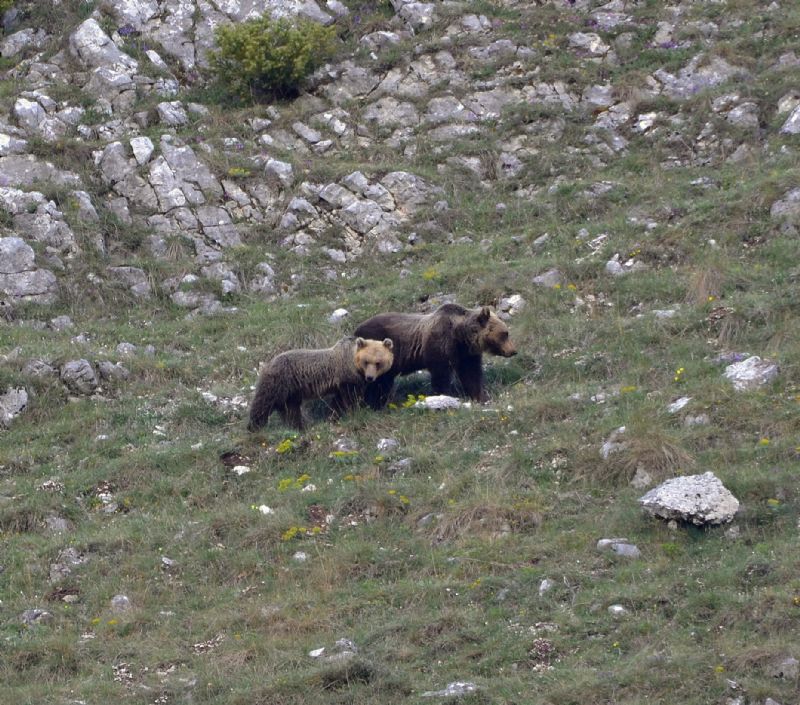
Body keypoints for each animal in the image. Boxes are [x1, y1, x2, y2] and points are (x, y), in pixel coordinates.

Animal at [244, 334, 394, 428]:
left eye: (378, 363)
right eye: (366, 361)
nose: (370, 377)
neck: (352, 362)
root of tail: (267, 364)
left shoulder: (343, 383)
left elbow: (339, 401)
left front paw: (334, 416)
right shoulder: (346, 377)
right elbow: (350, 398)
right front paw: (356, 411)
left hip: (291, 391)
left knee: (290, 409)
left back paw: (297, 426)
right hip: (279, 381)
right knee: (264, 402)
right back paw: (255, 425)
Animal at [356, 302, 520, 408]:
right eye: (505, 333)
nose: (513, 351)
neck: (460, 335)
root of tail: (356, 330)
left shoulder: (466, 354)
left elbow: (472, 375)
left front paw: (481, 397)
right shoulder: (440, 345)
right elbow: (441, 375)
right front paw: (441, 396)